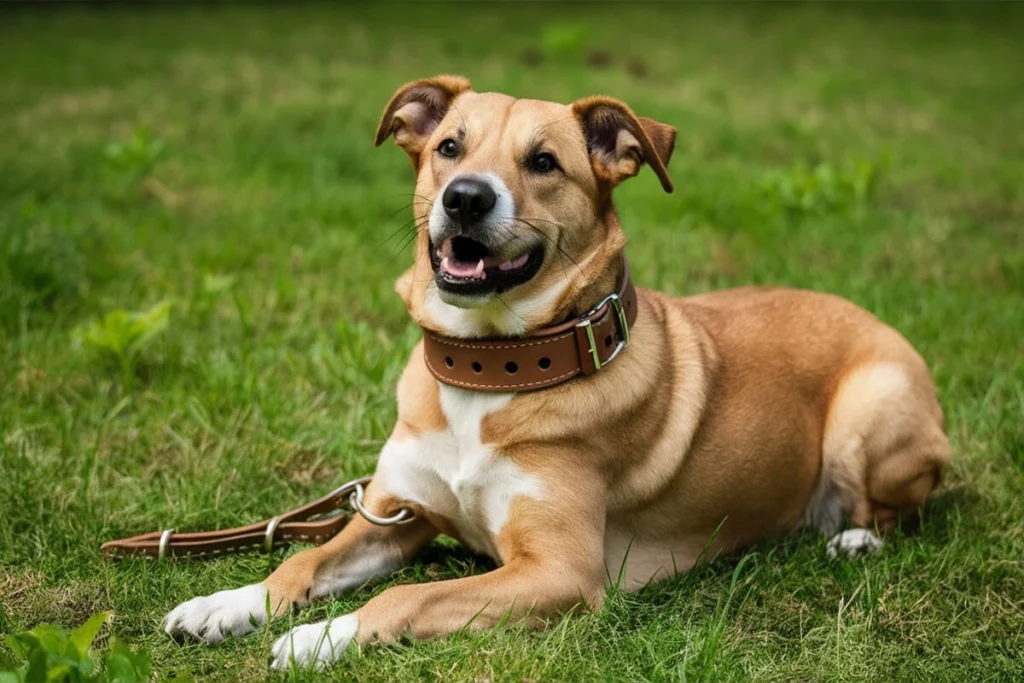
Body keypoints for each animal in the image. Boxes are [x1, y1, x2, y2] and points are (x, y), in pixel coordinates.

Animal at [161, 74, 950, 667]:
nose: (465, 197)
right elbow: (304, 562)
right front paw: (227, 604)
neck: (490, 373)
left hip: (867, 412)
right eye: (449, 147)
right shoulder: (396, 516)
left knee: (895, 507)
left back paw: (852, 536)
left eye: (544, 162)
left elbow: (407, 596)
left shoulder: (558, 572)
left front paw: (322, 636)